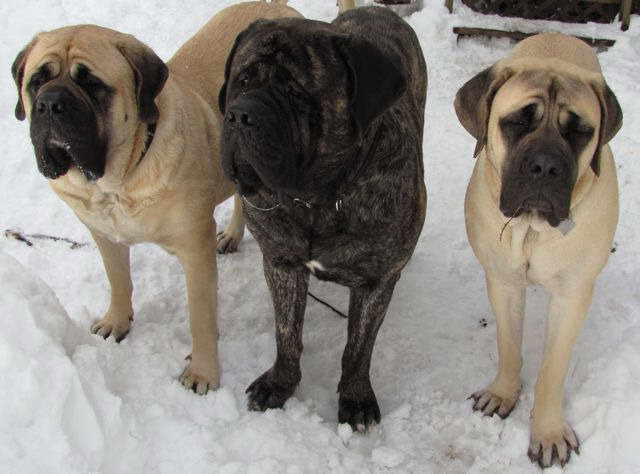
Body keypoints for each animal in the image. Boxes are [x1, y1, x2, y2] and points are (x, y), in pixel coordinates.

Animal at [11, 0, 302, 392]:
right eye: (37, 81)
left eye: (93, 84)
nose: (51, 104)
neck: (117, 182)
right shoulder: (104, 235)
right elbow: (118, 279)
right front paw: (117, 321)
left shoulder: (195, 250)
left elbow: (200, 318)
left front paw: (203, 373)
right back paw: (232, 234)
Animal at [456, 33, 620, 466]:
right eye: (516, 122)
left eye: (580, 131)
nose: (545, 166)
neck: (532, 228)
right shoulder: (503, 282)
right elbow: (509, 345)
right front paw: (503, 393)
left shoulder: (572, 294)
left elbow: (553, 369)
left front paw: (548, 432)